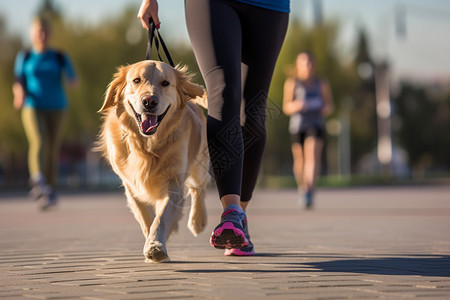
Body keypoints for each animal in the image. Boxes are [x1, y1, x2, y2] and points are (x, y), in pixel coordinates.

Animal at [96, 61, 209, 262]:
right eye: (136, 80)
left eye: (165, 83)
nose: (149, 101)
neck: (147, 146)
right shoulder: (131, 185)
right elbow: (146, 217)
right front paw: (152, 243)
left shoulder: (173, 182)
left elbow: (162, 217)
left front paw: (156, 245)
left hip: (199, 164)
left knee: (198, 188)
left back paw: (197, 221)